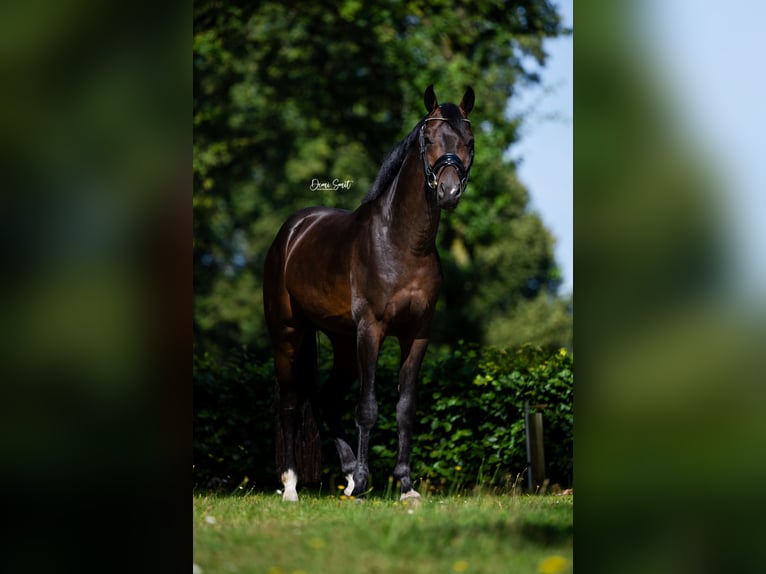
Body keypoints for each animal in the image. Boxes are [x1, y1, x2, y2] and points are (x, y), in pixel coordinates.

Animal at [268, 85, 476, 504]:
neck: (401, 244)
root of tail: (292, 231)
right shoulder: (372, 329)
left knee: (327, 399)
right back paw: (293, 486)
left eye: (469, 140)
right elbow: (367, 407)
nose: (448, 192)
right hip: (288, 334)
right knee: (290, 404)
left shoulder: (417, 334)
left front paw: (406, 487)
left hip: (343, 342)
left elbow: (405, 407)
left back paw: (347, 477)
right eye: (428, 139)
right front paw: (366, 483)